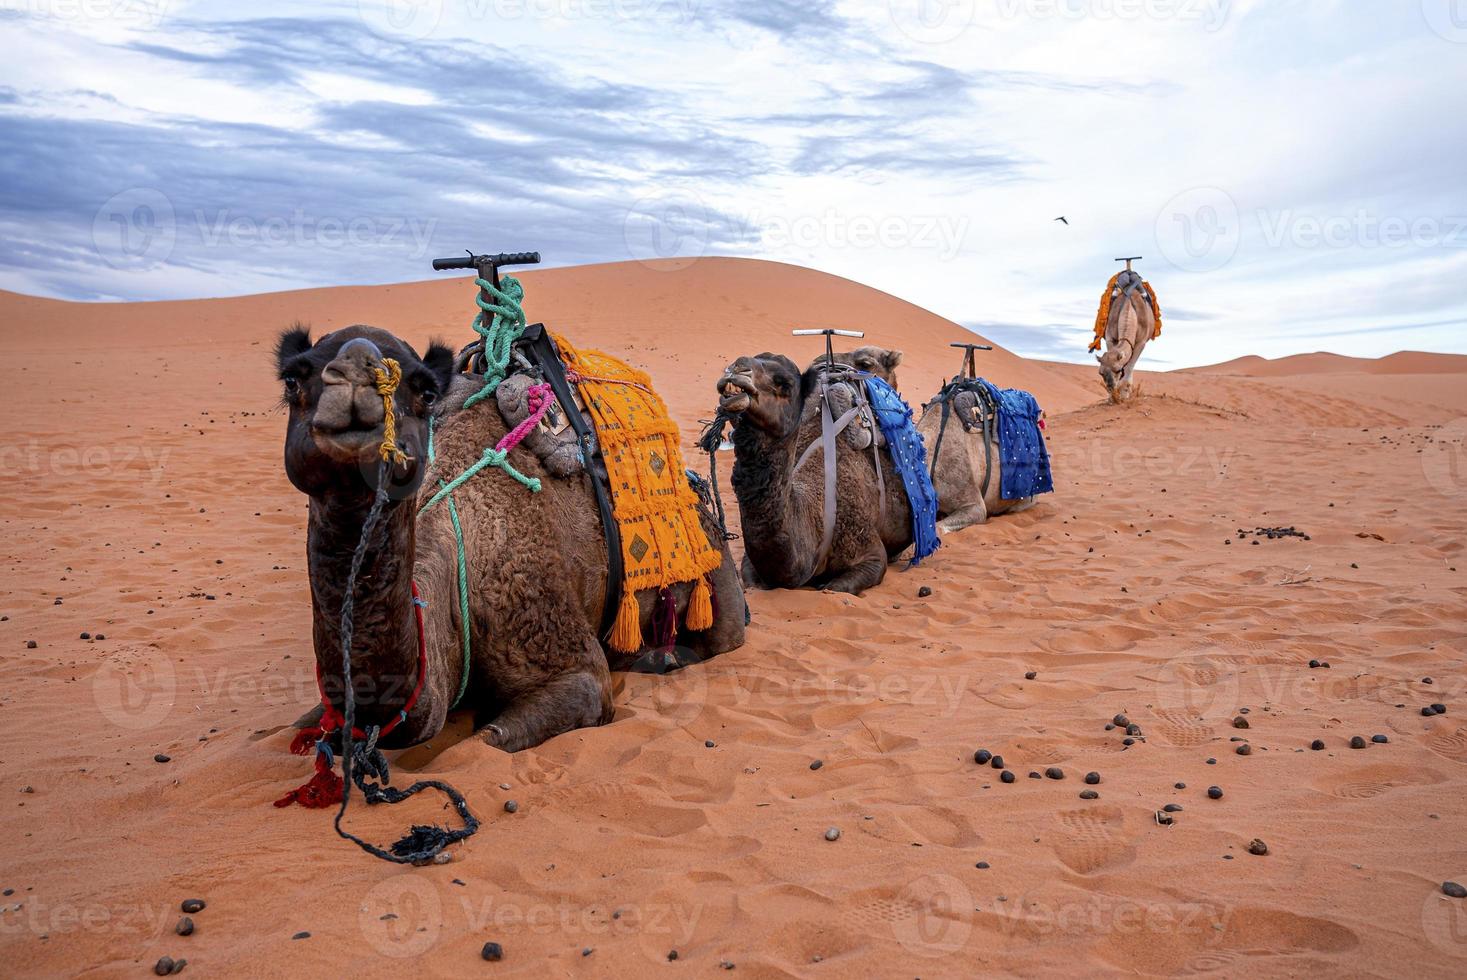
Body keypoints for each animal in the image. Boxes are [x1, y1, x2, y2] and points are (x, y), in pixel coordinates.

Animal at [277, 321, 745, 751]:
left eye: (423, 390)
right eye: (292, 379)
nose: (357, 375)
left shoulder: (563, 653)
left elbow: (491, 739)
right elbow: (297, 729)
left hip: (716, 570)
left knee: (722, 635)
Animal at [715, 353, 909, 592]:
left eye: (785, 384)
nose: (737, 368)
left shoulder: (871, 553)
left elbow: (835, 587)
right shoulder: (750, 564)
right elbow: (752, 583)